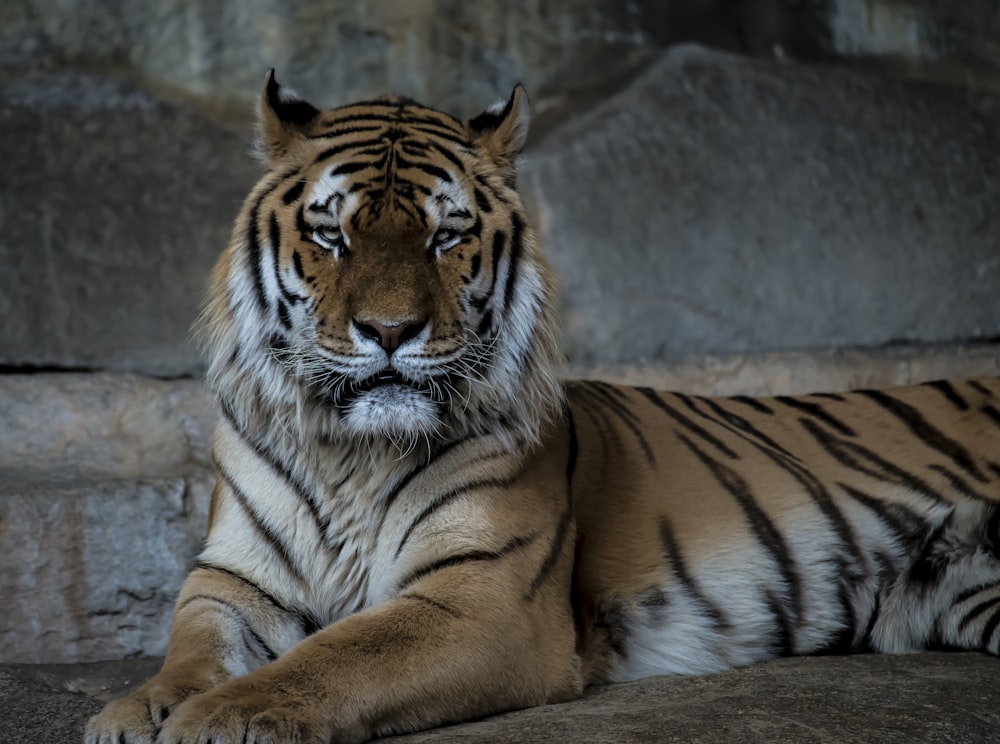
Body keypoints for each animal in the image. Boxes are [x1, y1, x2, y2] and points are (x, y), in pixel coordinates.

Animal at [86, 71, 1000, 744]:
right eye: (332, 235)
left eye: (446, 237)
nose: (390, 331)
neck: (352, 452)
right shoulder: (234, 579)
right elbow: (190, 647)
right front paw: (138, 710)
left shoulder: (482, 598)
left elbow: (336, 656)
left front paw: (221, 717)